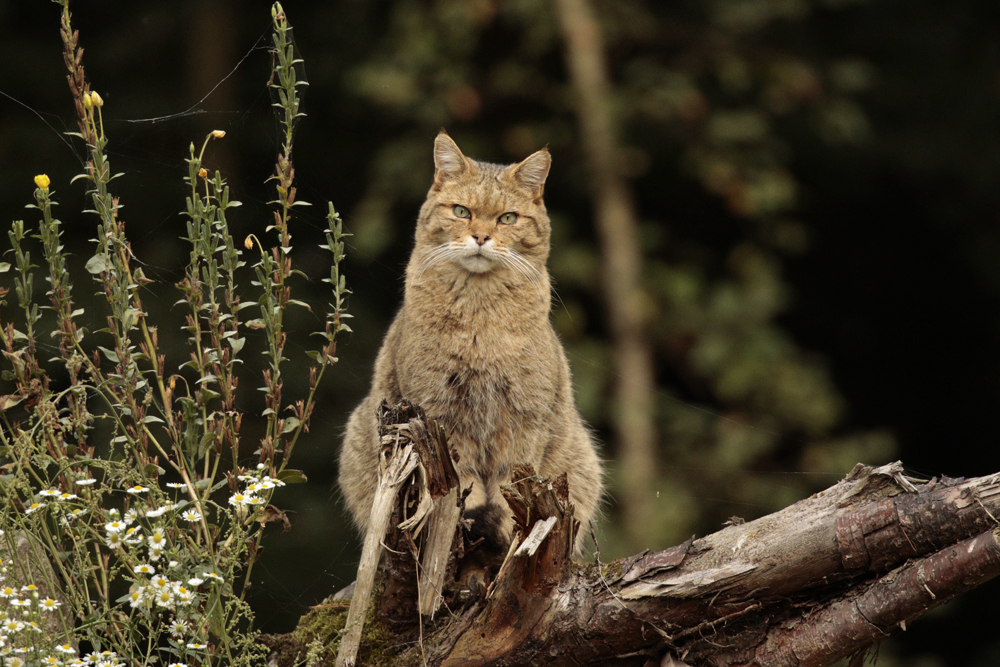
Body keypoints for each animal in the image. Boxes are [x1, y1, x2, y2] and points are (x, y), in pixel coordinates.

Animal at [338, 130, 600, 560]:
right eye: (461, 211)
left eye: (507, 218)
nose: (480, 236)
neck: (481, 318)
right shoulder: (439, 415)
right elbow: (461, 484)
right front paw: (471, 518)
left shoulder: (525, 418)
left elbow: (514, 481)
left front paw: (510, 529)